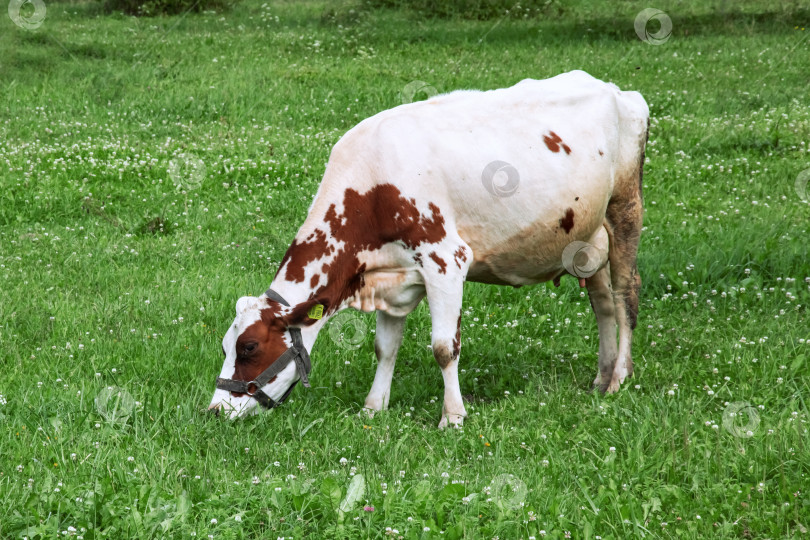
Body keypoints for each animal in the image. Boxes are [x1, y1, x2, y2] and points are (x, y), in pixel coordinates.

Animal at [208, 69, 652, 428]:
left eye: (249, 347)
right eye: (227, 345)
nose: (213, 411)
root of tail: (617, 89)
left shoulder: (446, 259)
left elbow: (443, 348)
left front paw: (452, 417)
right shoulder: (392, 274)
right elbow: (384, 348)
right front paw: (373, 408)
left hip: (625, 208)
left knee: (624, 293)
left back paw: (618, 378)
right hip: (587, 236)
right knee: (602, 303)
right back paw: (600, 377)